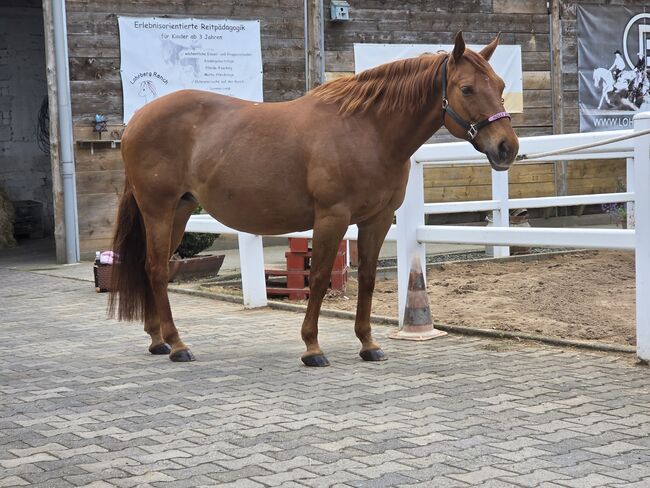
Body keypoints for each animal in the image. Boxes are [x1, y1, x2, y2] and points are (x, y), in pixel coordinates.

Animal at [109, 32, 519, 366]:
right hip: (159, 209)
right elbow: (318, 278)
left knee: (153, 266)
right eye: (466, 89)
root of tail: (137, 119)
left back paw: (158, 340)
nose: (507, 148)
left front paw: (368, 344)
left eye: (500, 84)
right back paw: (178, 345)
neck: (366, 130)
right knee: (156, 269)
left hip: (179, 210)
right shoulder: (332, 218)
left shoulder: (377, 219)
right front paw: (312, 347)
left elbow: (367, 277)